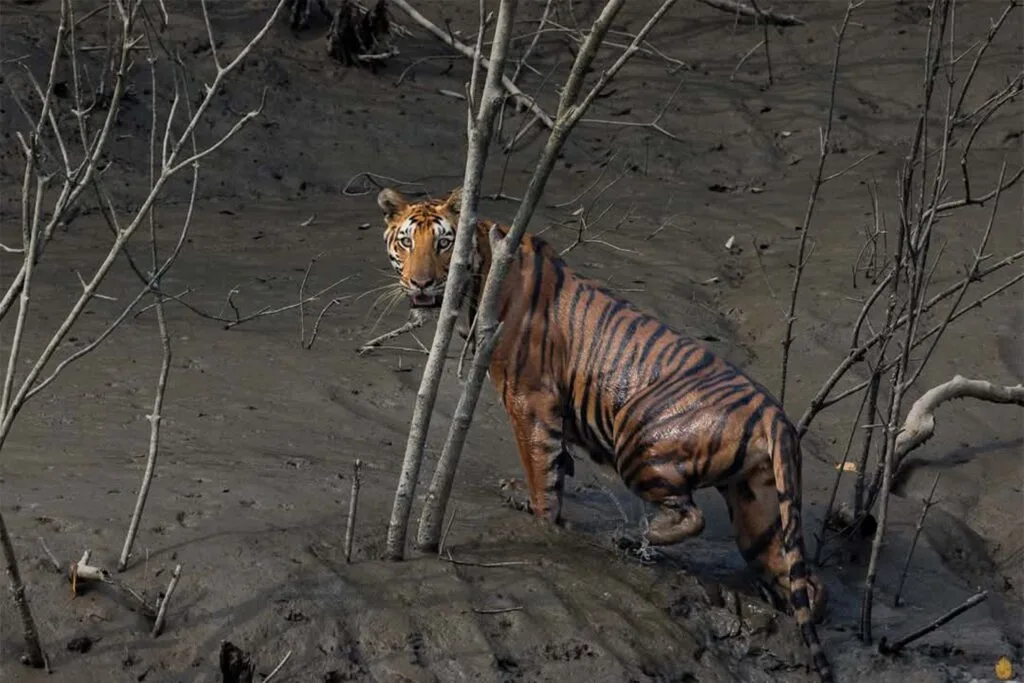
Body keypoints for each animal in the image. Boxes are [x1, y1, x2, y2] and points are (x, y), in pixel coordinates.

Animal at [375, 186, 834, 683]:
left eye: (443, 244)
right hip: (759, 510)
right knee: (806, 582)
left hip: (641, 444)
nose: (421, 284)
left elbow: (541, 471)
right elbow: (557, 465)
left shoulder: (529, 400)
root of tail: (775, 414)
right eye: (407, 242)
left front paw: (539, 520)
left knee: (691, 516)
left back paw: (632, 538)